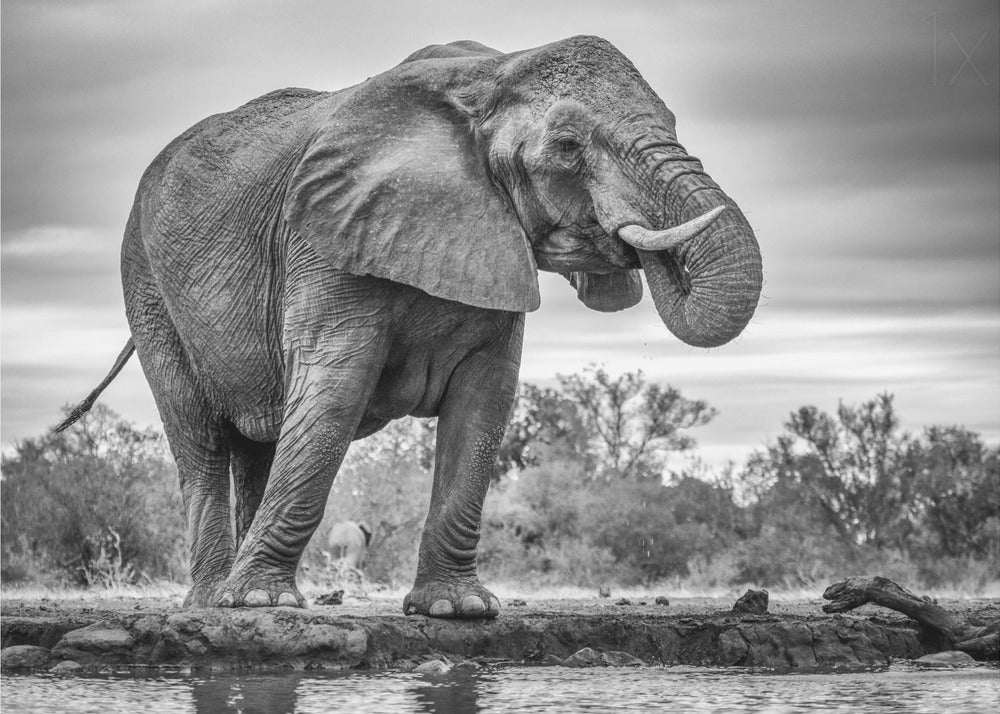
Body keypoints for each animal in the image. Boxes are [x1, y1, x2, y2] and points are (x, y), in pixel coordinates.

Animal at [57, 36, 762, 618]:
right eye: (567, 146)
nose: (642, 247)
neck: (489, 74)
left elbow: (485, 403)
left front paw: (458, 610)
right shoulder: (323, 238)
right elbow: (334, 391)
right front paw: (260, 605)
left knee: (258, 442)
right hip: (147, 283)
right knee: (200, 438)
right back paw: (214, 604)